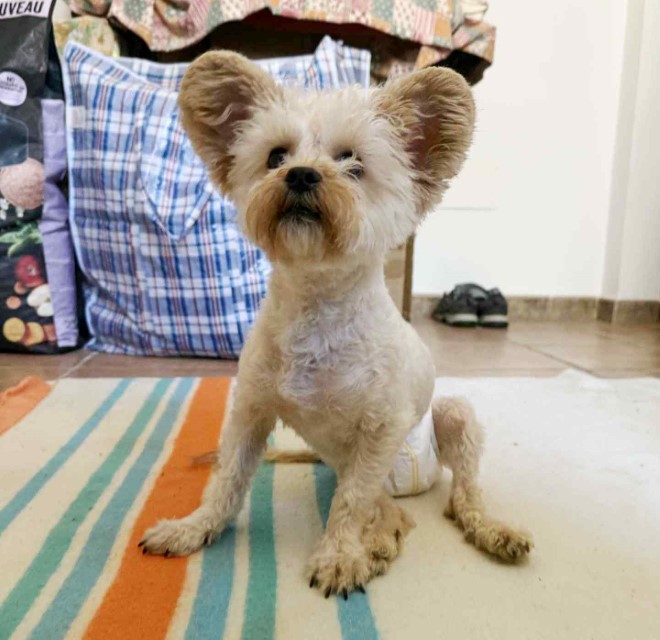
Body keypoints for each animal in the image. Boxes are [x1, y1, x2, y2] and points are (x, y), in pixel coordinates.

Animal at [140, 51, 532, 597]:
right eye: (275, 157)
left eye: (354, 165)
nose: (301, 175)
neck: (318, 312)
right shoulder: (251, 411)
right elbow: (227, 482)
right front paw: (193, 528)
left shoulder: (380, 431)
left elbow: (350, 503)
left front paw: (340, 556)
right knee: (390, 511)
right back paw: (384, 540)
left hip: (452, 417)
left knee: (459, 496)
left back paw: (489, 530)